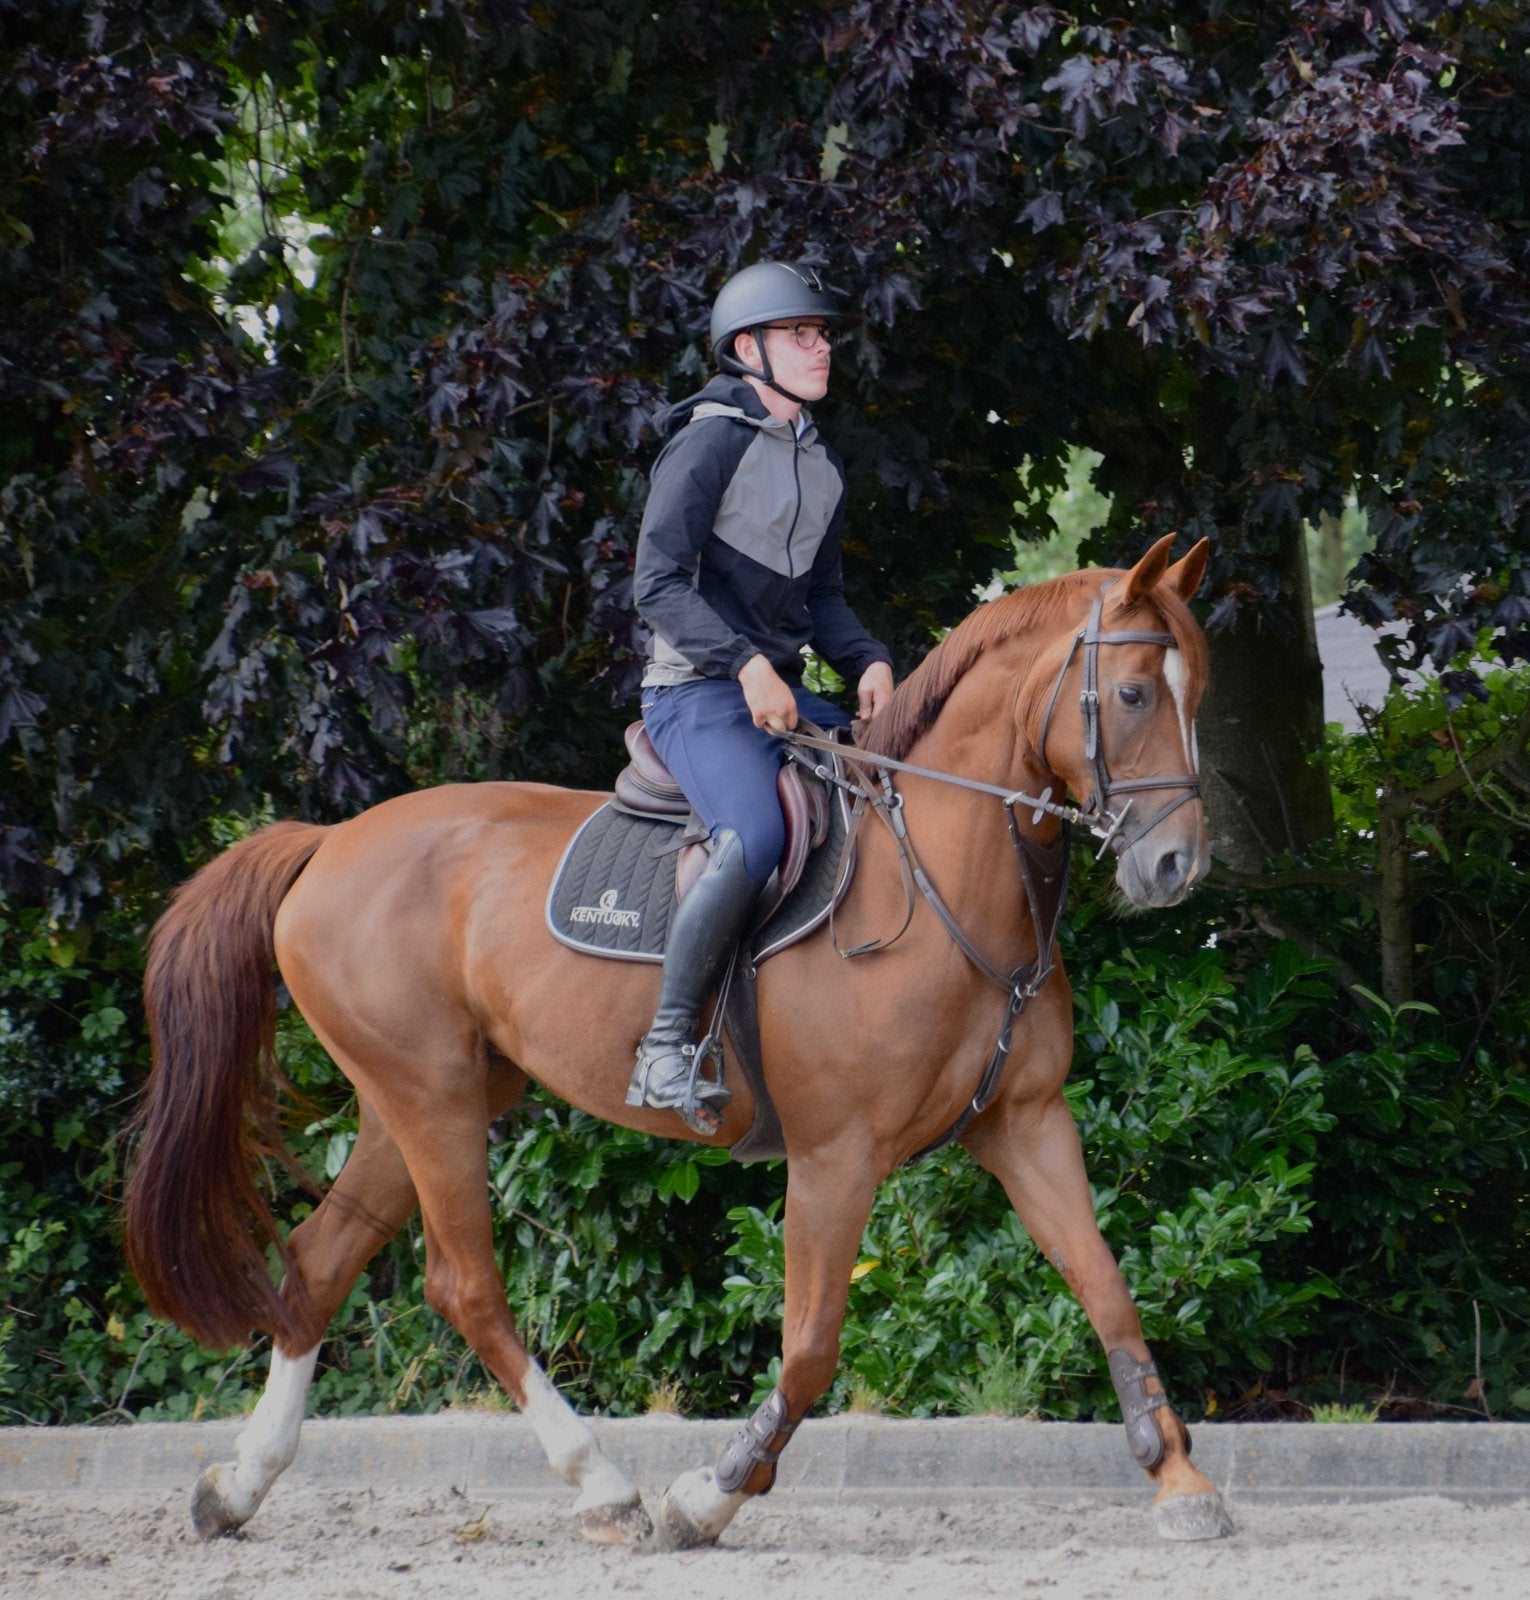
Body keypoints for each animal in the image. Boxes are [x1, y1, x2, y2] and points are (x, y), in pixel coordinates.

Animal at [123, 531, 1234, 1550]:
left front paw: (1179, 1477)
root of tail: (327, 843)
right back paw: (603, 1483)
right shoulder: (836, 1156)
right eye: (1133, 694)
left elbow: (1107, 1286)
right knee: (465, 1284)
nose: (1176, 866)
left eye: (1199, 696)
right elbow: (811, 1345)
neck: (939, 875)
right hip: (429, 1097)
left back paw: (238, 1486)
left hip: (426, 1098)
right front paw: (712, 1492)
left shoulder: (1025, 1123)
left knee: (319, 1261)